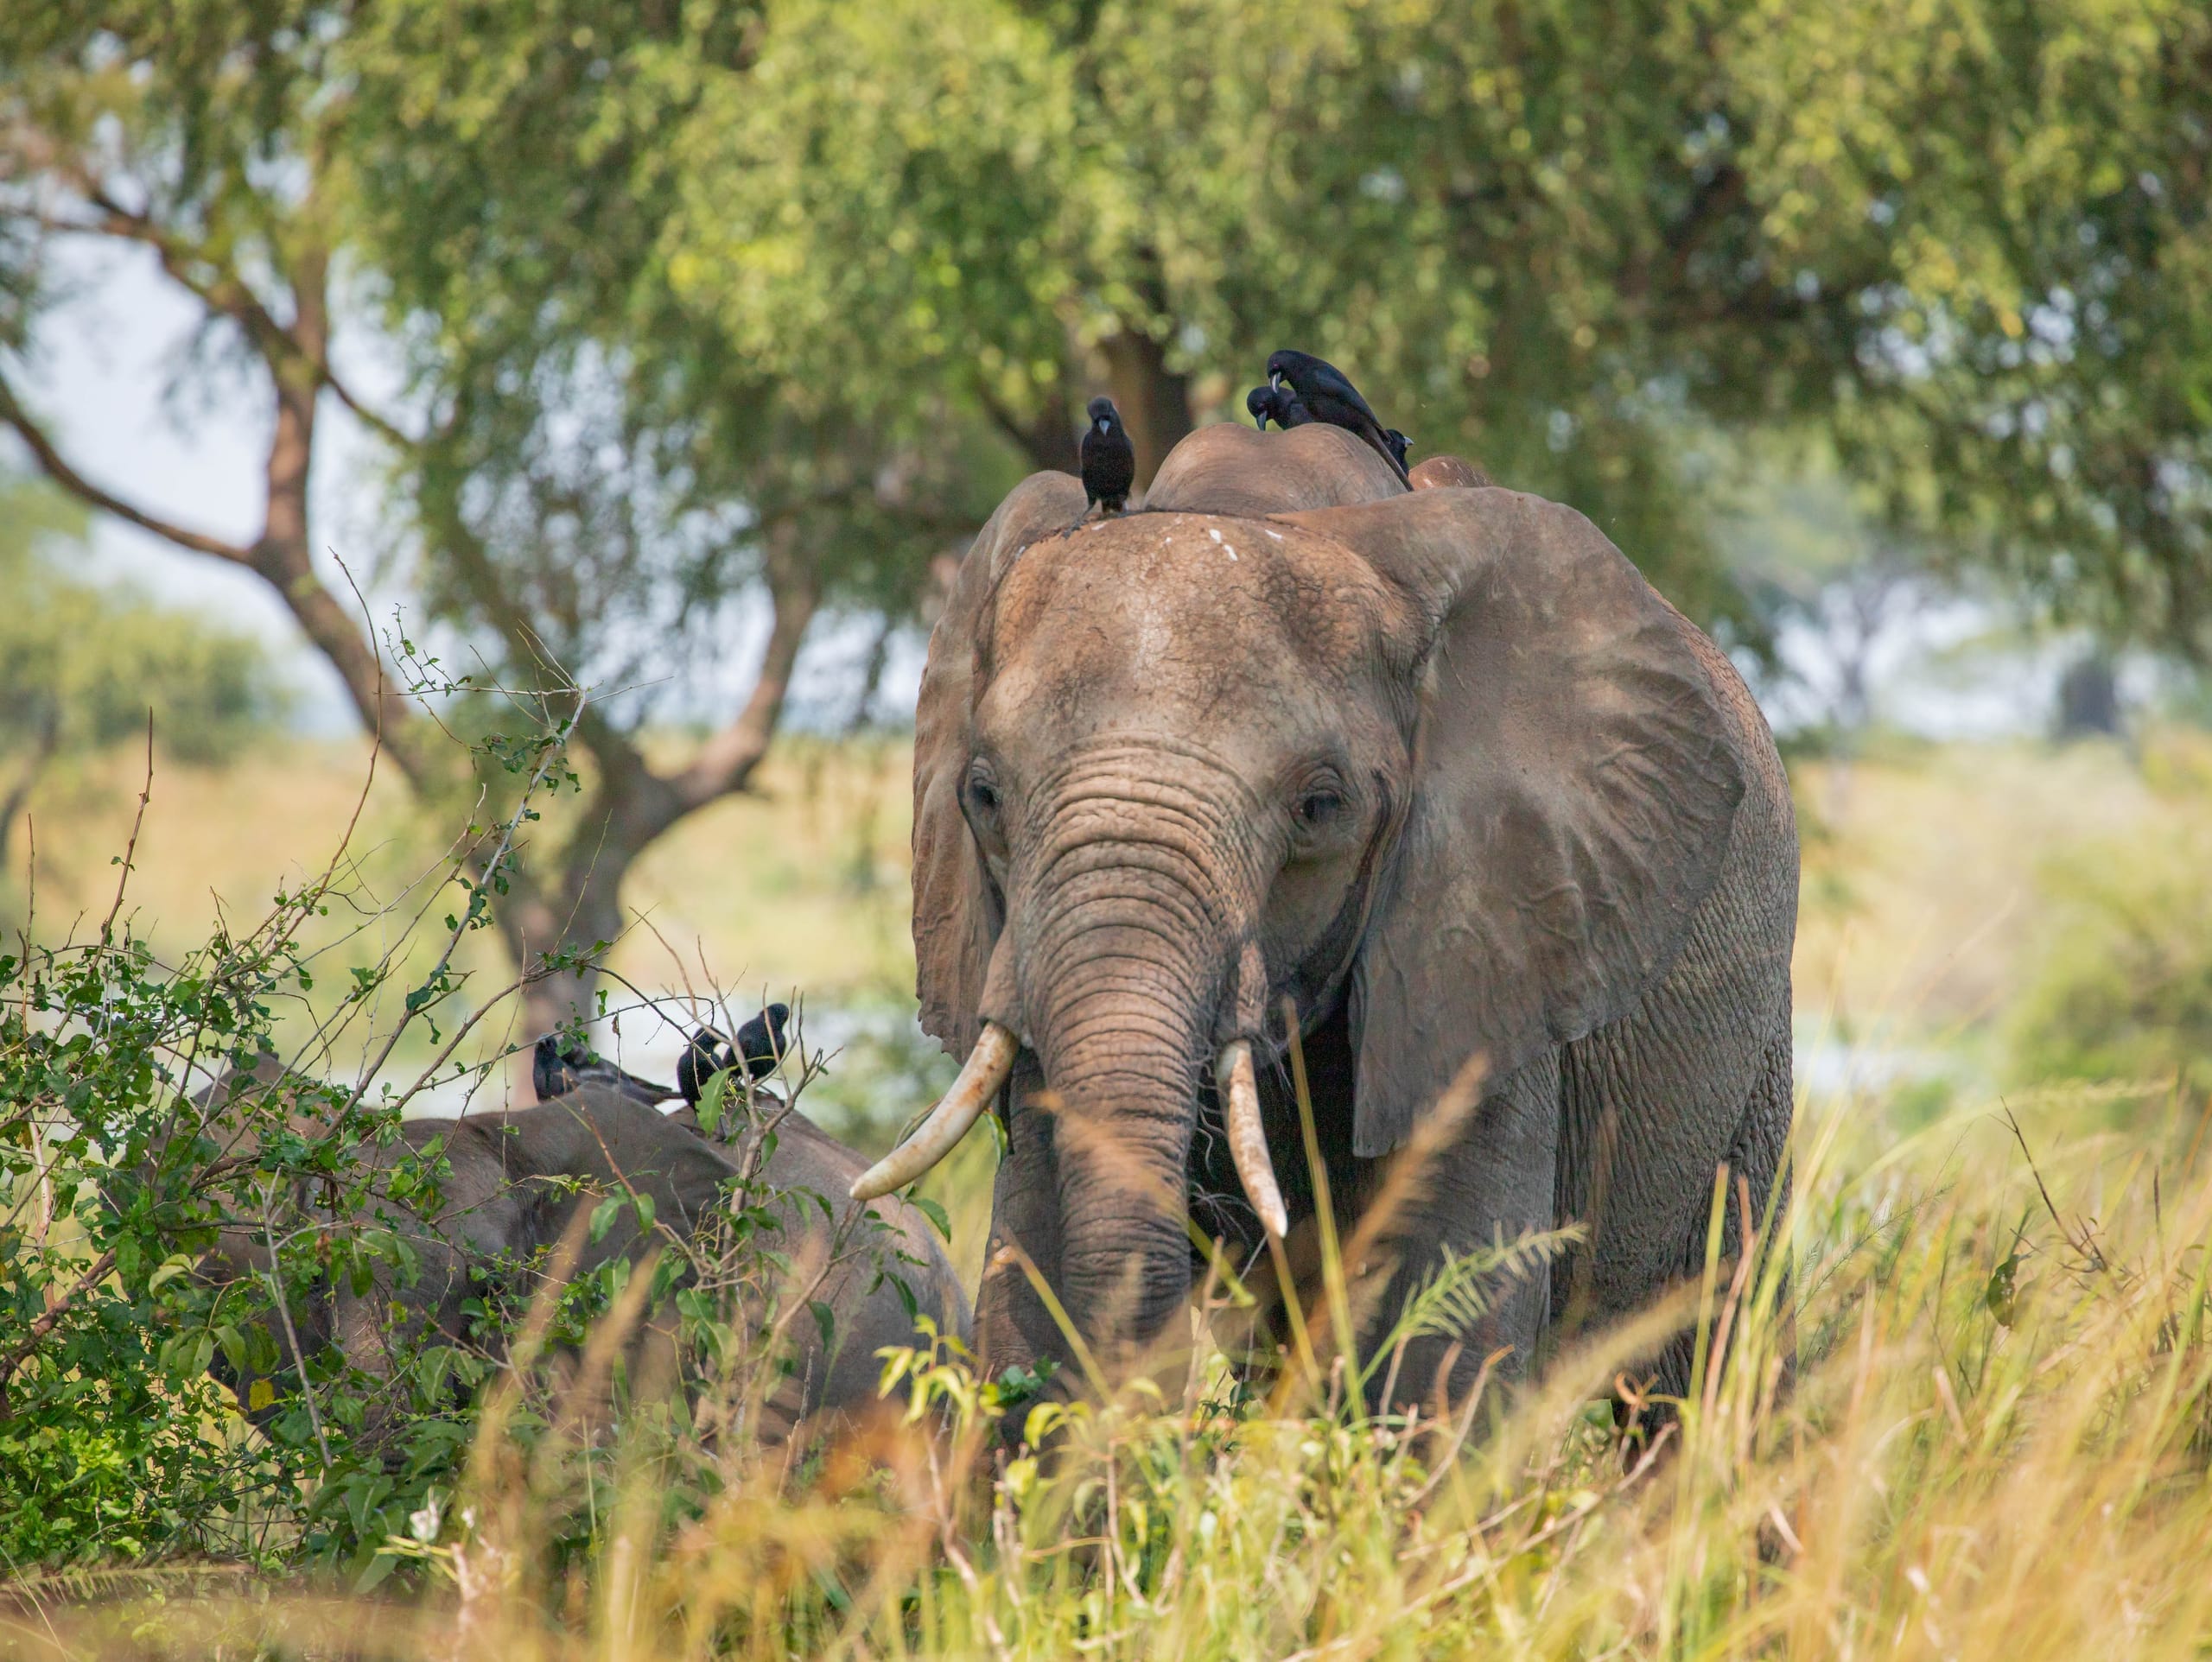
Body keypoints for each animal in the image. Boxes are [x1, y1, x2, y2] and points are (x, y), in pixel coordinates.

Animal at [850, 419, 1797, 1416]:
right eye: (983, 794)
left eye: (1320, 806)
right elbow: (1028, 1266)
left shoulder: (1491, 935)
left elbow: (1449, 1335)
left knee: (1707, 1335)